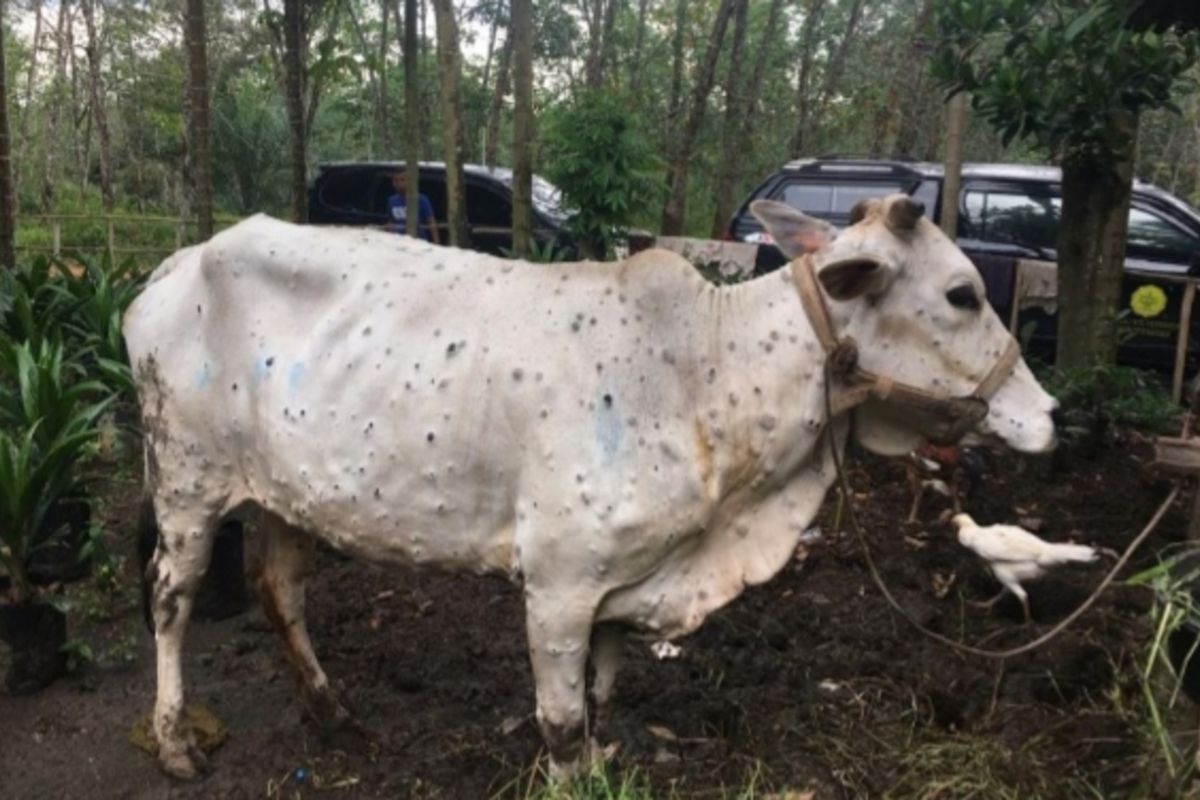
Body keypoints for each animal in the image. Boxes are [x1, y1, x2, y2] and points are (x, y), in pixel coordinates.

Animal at [126, 196, 1056, 777]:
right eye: (962, 294)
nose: (1050, 413)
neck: (709, 374)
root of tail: (174, 266)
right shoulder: (559, 584)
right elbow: (563, 719)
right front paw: (574, 767)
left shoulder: (624, 581)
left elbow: (603, 692)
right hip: (186, 482)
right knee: (171, 600)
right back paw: (173, 741)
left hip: (285, 495)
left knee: (278, 588)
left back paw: (332, 712)